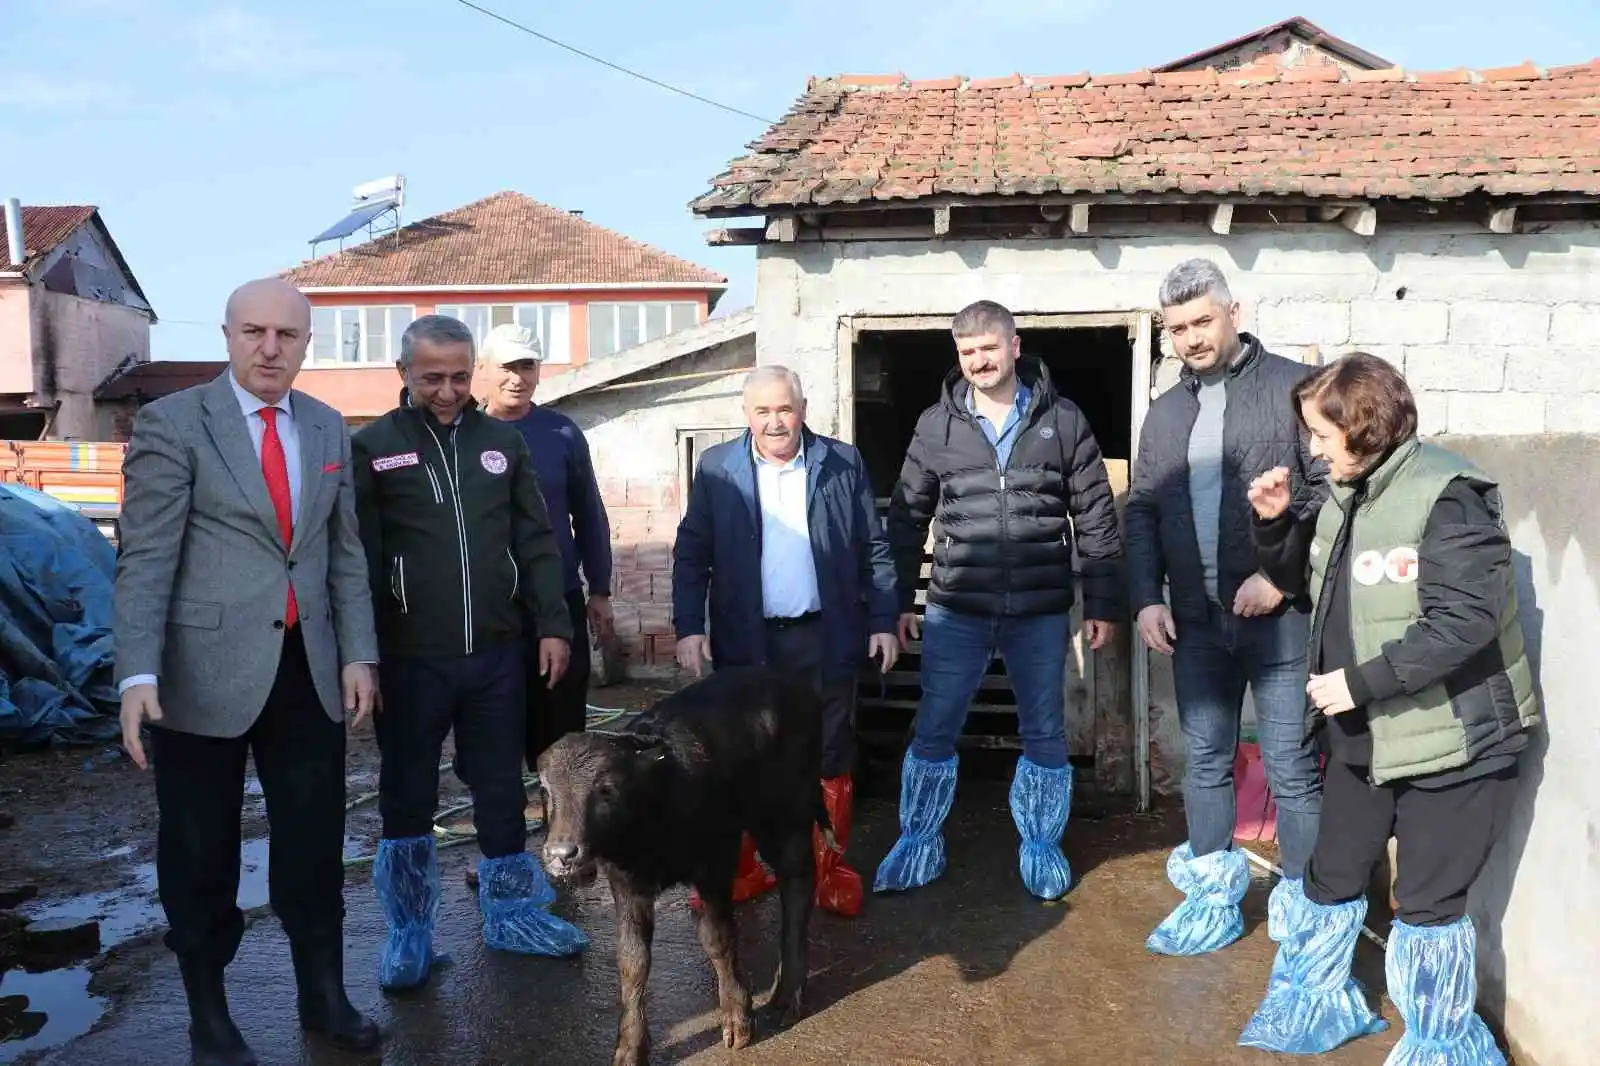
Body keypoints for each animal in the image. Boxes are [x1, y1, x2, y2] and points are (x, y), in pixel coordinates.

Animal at [540, 665, 838, 1062]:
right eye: (546, 791)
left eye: (606, 789)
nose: (562, 854)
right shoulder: (627, 883)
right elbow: (632, 960)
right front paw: (630, 1047)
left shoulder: (716, 861)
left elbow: (717, 937)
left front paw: (737, 1018)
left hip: (786, 814)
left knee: (797, 882)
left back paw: (788, 995)